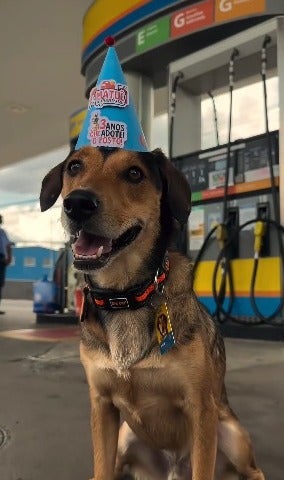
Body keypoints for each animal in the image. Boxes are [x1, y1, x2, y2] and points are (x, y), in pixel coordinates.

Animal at [39, 147, 264, 480]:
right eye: (74, 167)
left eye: (134, 174)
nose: (77, 203)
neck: (125, 296)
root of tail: (173, 469)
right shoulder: (102, 406)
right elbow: (101, 468)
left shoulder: (201, 408)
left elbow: (204, 469)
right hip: (124, 437)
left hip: (231, 433)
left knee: (251, 469)